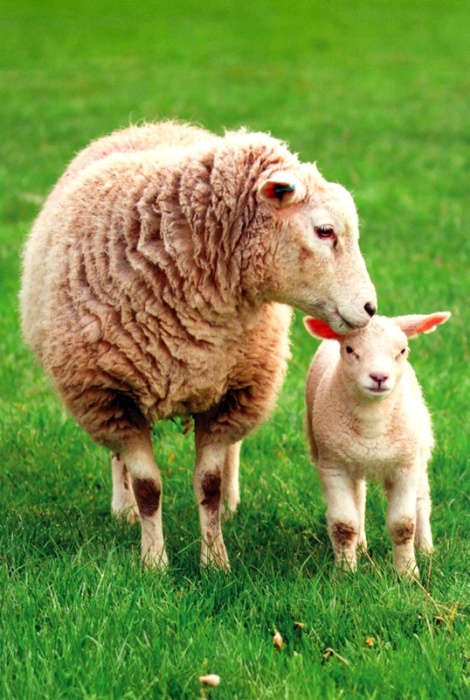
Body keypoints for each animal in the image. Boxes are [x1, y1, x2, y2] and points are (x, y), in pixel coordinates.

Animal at [19, 120, 378, 568]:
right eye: (324, 230)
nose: (370, 308)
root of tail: (154, 125)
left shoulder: (232, 395)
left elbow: (208, 484)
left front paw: (215, 561)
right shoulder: (109, 396)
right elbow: (148, 488)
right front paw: (154, 563)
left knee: (231, 453)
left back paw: (230, 503)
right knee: (118, 460)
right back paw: (123, 509)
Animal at [302, 312, 450, 576]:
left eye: (402, 350)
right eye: (350, 349)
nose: (379, 377)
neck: (372, 423)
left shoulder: (405, 466)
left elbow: (403, 525)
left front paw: (408, 574)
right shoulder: (333, 465)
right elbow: (343, 525)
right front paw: (346, 574)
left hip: (419, 449)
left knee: (422, 500)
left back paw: (426, 550)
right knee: (359, 500)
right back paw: (360, 547)